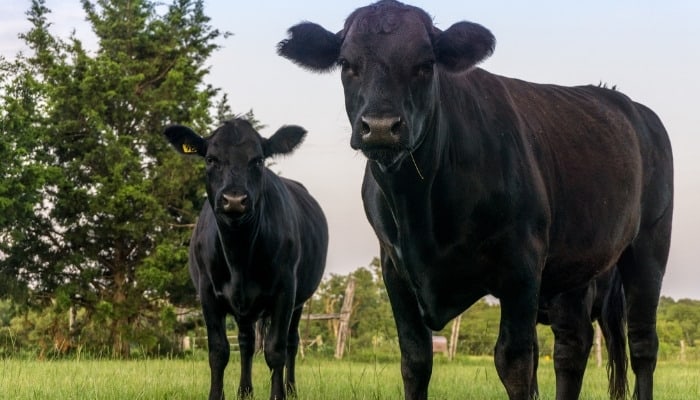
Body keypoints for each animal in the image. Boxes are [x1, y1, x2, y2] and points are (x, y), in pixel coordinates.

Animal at [164, 119, 328, 400]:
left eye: (258, 160)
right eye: (211, 159)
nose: (234, 200)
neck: (238, 256)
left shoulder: (286, 291)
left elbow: (275, 351)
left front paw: (278, 396)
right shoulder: (207, 293)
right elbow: (219, 351)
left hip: (300, 301)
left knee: (291, 342)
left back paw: (291, 389)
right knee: (246, 342)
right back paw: (245, 391)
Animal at [278, 1, 672, 398]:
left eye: (426, 64)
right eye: (347, 64)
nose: (380, 126)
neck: (421, 210)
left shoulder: (522, 265)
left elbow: (516, 362)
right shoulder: (395, 269)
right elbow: (414, 360)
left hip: (649, 245)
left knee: (642, 344)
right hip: (576, 267)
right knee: (571, 348)